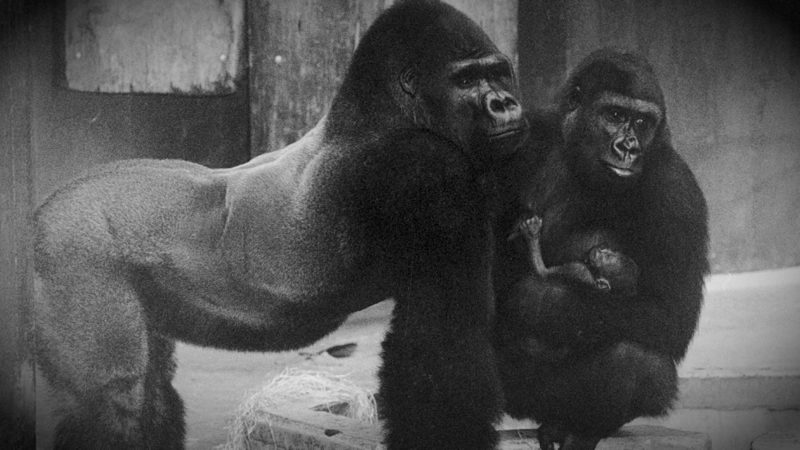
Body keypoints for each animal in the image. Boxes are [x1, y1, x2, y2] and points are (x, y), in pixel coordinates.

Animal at [34, 1, 528, 448]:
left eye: (499, 73)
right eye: (465, 80)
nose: (504, 103)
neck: (380, 114)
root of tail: (49, 204)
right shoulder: (428, 171)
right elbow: (441, 354)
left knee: (150, 392)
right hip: (72, 247)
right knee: (114, 403)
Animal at [494, 47, 712, 448]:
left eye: (642, 121)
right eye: (614, 115)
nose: (628, 148)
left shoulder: (677, 192)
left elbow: (670, 315)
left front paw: (539, 300)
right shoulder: (511, 145)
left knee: (638, 363)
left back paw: (578, 431)